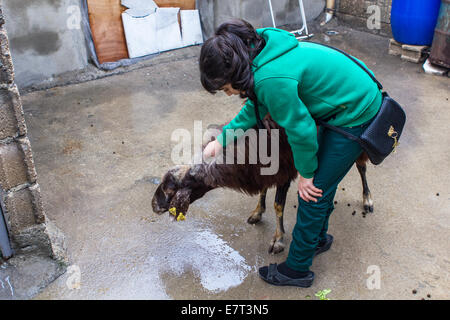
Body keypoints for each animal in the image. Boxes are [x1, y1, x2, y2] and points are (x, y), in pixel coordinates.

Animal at [151, 116, 372, 254]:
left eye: (170, 189)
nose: (153, 205)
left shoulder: (285, 172)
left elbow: (278, 205)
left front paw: (278, 240)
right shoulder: (261, 171)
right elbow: (263, 190)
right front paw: (257, 212)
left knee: (361, 167)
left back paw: (368, 200)